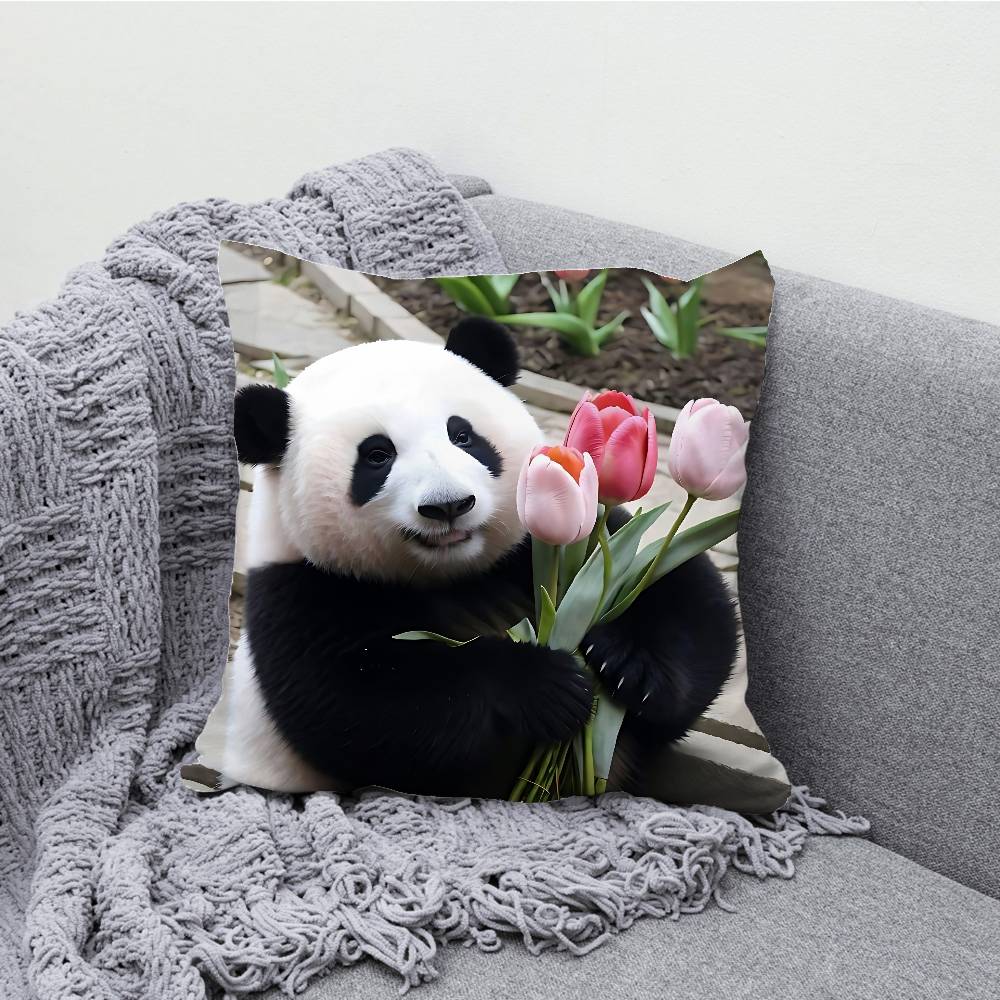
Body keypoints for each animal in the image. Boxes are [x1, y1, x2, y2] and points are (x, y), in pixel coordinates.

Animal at [190, 317, 738, 798]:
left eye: (462, 435)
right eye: (376, 456)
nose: (449, 505)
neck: (456, 574)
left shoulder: (550, 540)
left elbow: (683, 595)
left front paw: (628, 668)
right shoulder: (302, 590)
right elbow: (357, 707)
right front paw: (544, 685)